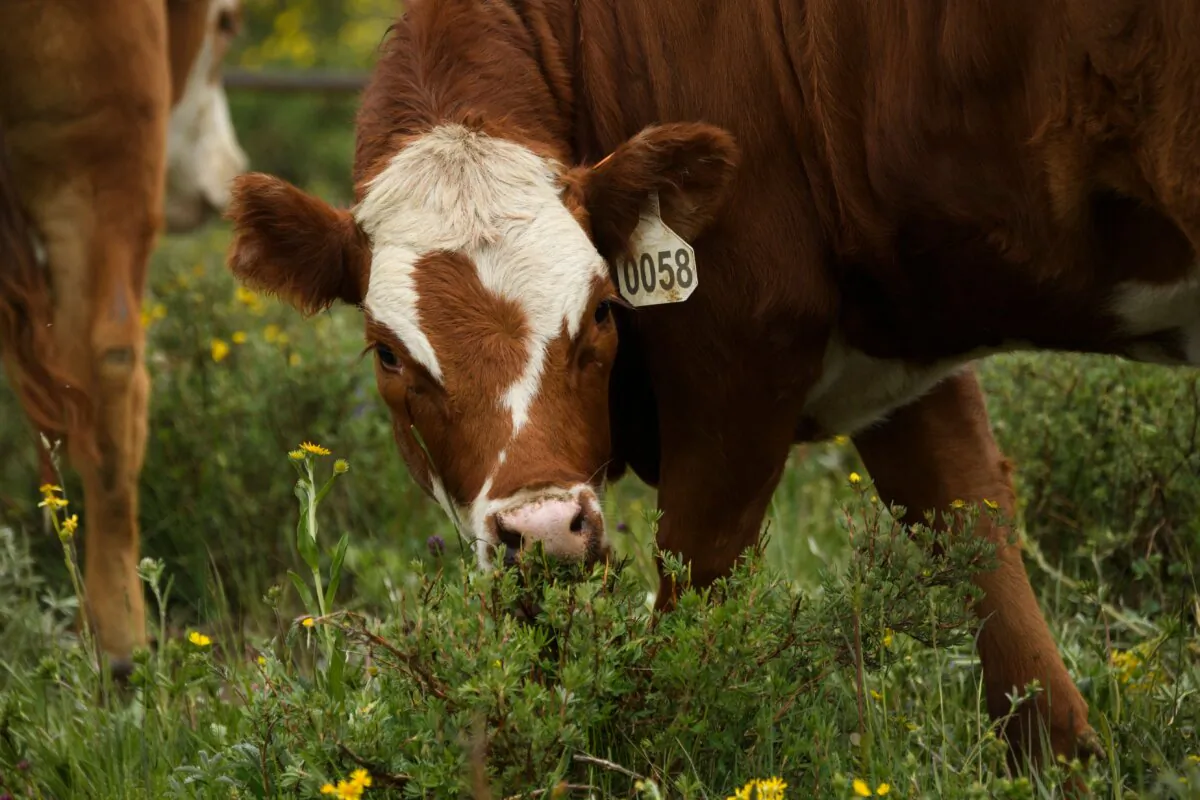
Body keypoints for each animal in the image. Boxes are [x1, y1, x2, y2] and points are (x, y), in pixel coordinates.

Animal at [223, 0, 1200, 771]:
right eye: (388, 353)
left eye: (605, 310)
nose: (544, 527)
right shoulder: (904, 363)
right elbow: (977, 550)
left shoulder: (744, 360)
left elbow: (691, 611)